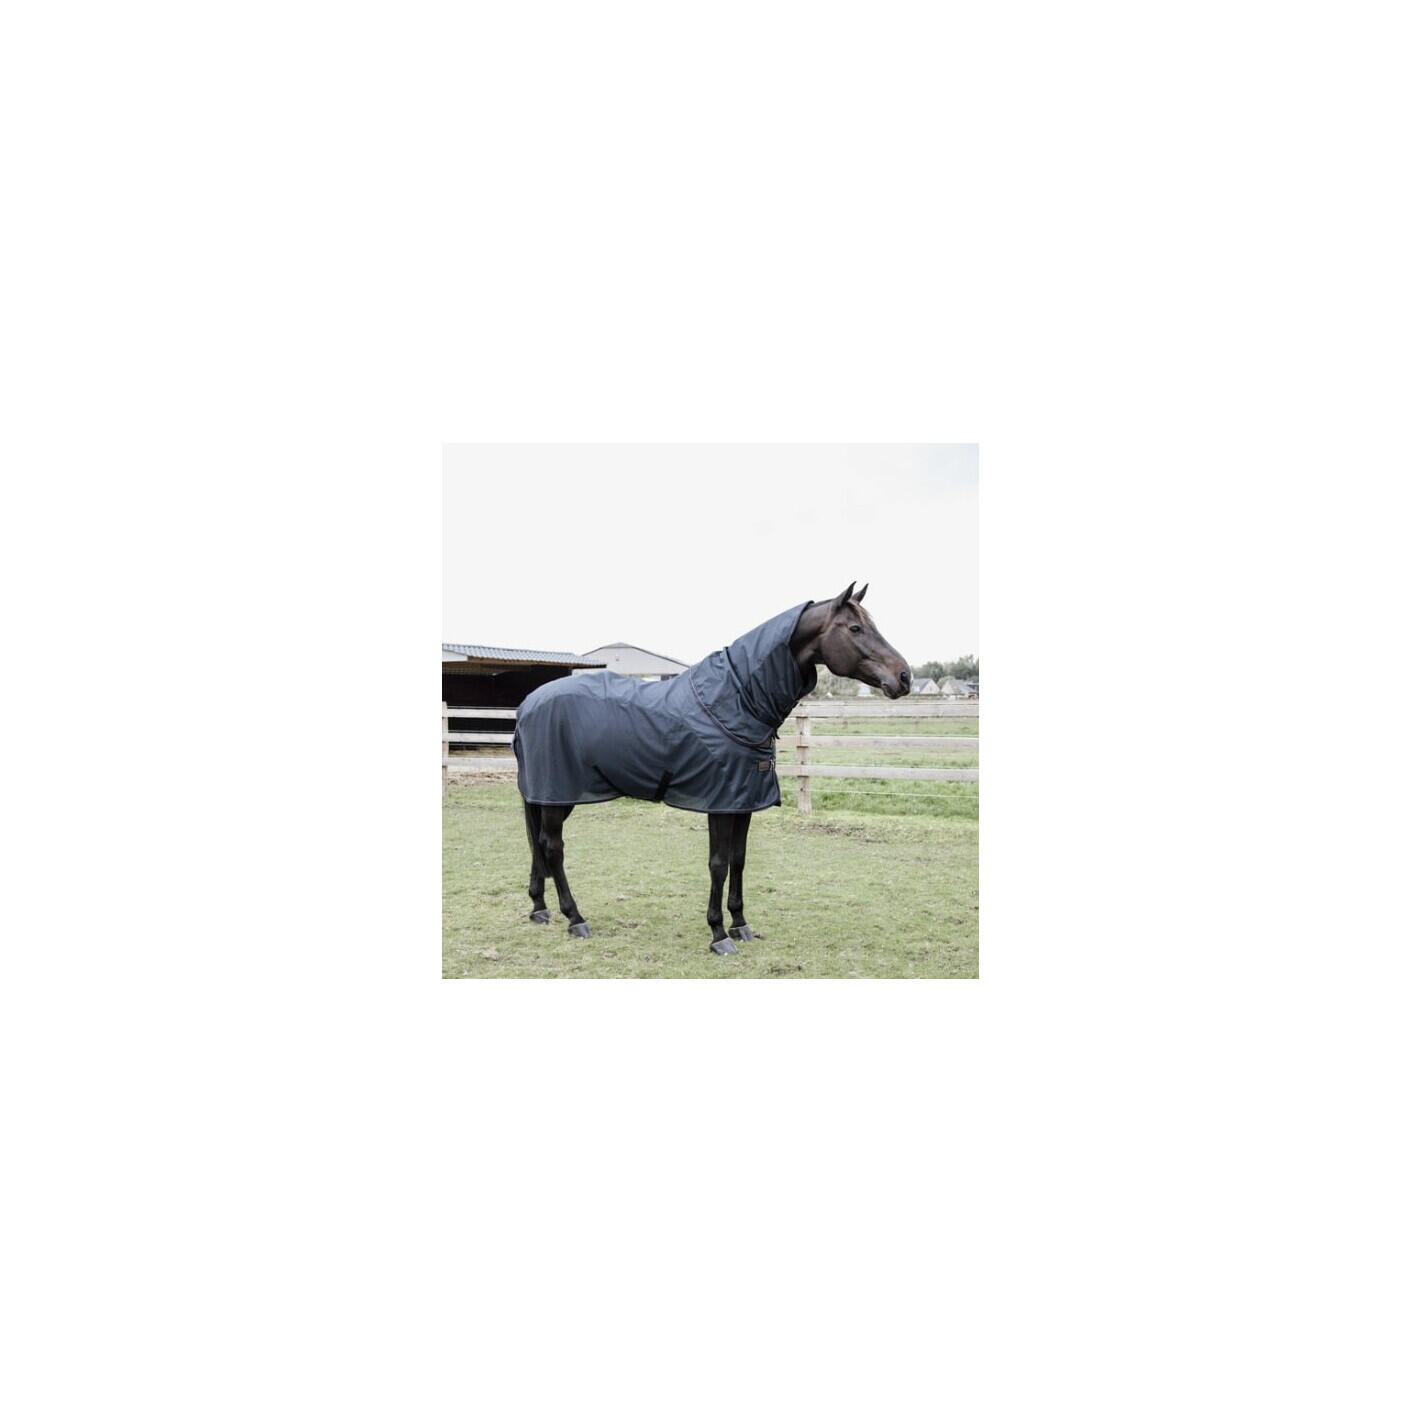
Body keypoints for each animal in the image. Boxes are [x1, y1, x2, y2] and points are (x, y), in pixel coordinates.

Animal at [513, 583, 912, 953]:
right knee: (552, 846)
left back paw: (539, 909)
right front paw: (718, 933)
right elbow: (718, 863)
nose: (904, 676)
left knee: (538, 843)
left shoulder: (744, 802)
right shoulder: (719, 803)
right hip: (557, 793)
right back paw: (575, 918)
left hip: (549, 796)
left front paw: (740, 924)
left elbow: (739, 859)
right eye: (855, 628)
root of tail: (528, 704)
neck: (736, 700)